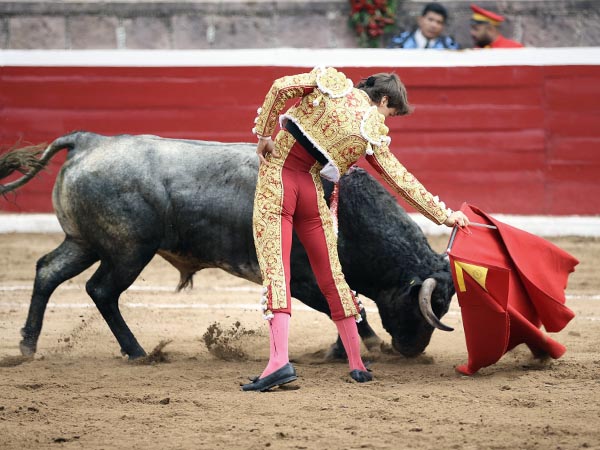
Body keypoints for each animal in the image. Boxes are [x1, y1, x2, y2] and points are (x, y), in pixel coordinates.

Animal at [1, 132, 454, 360]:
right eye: (425, 306)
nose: (413, 351)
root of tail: (89, 141)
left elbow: (346, 303)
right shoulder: (302, 278)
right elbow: (344, 306)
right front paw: (366, 344)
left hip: (84, 242)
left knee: (48, 272)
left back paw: (27, 345)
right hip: (128, 250)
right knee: (101, 291)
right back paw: (136, 351)